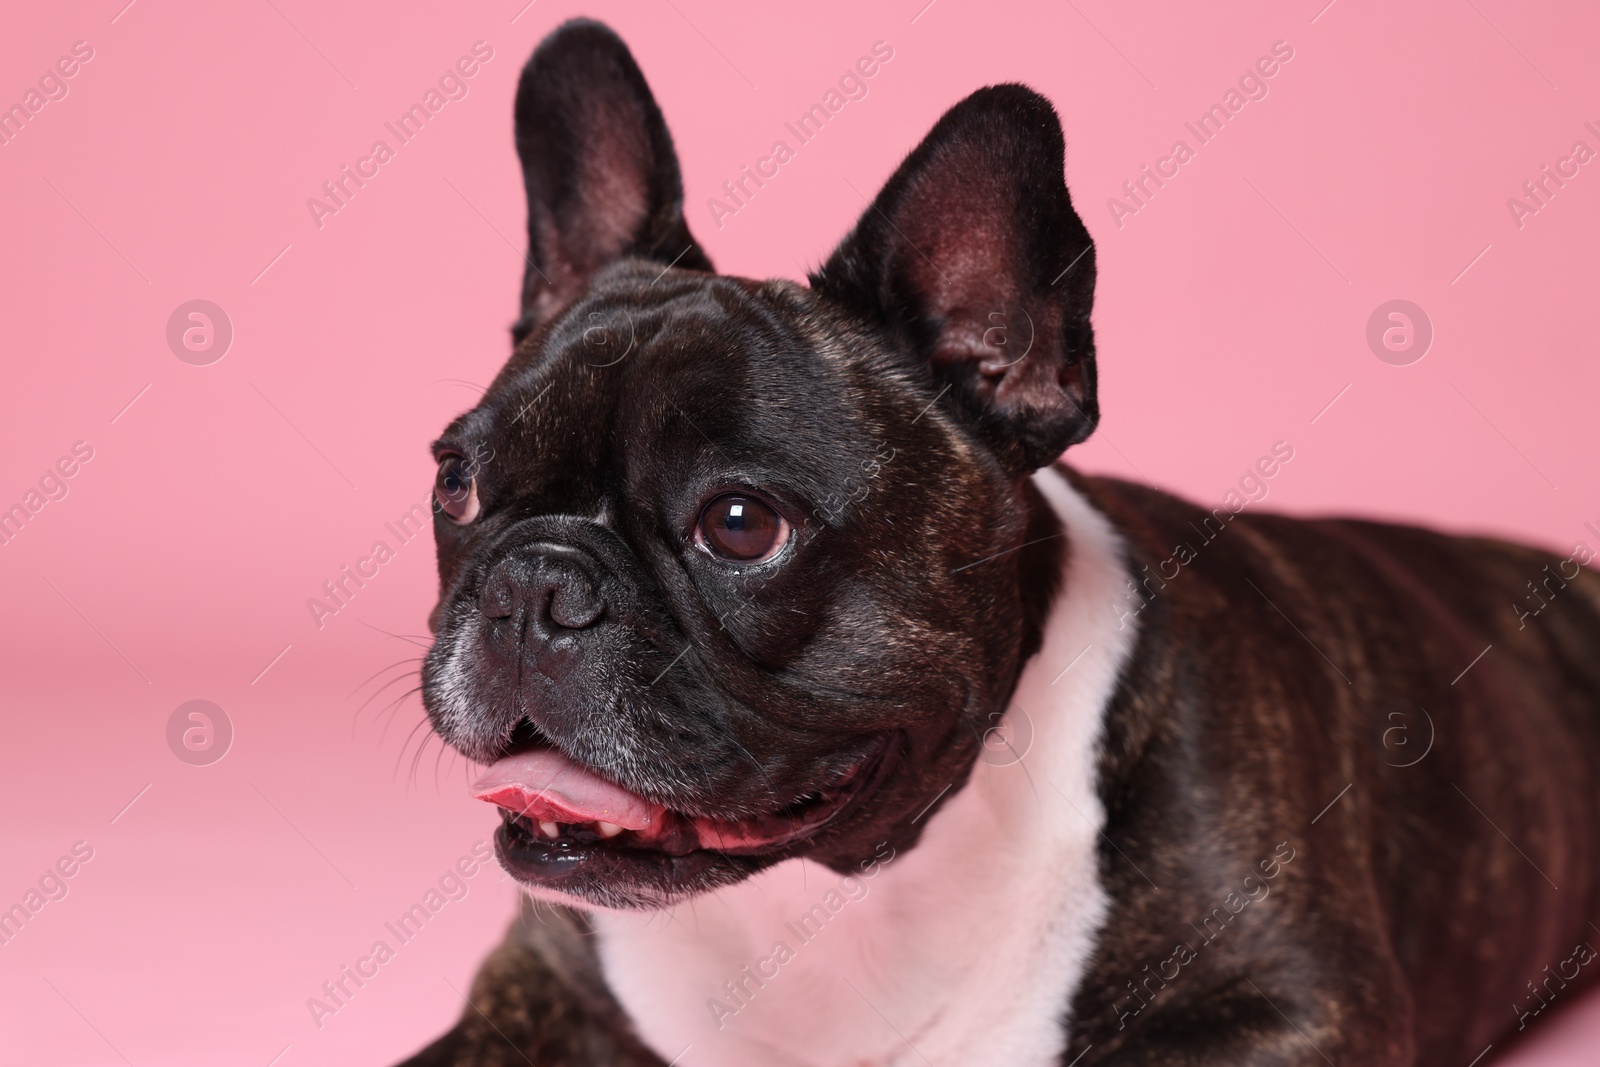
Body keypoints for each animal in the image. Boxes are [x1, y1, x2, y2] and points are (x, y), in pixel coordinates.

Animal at [396, 18, 1600, 1067]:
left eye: (740, 524)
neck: (836, 893)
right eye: (456, 481)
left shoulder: (1295, 1006)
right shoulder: (536, 986)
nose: (535, 584)